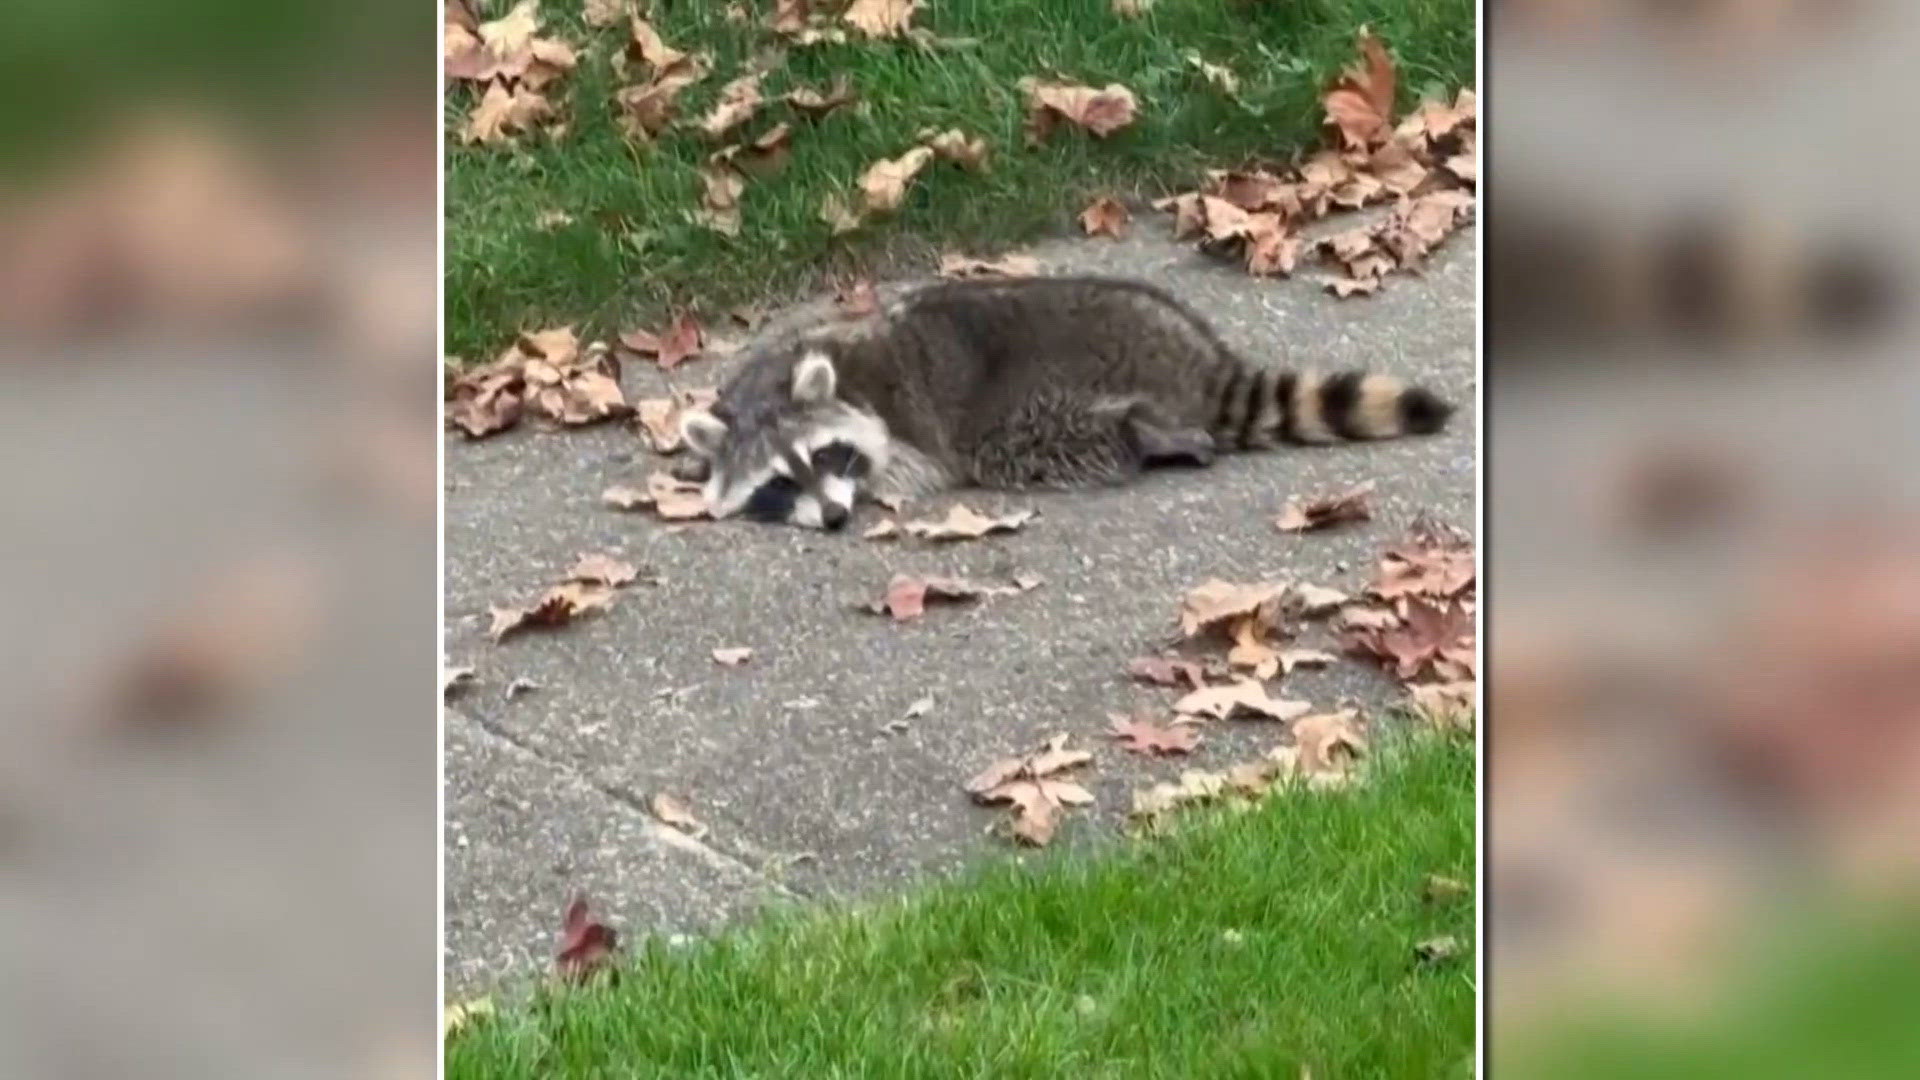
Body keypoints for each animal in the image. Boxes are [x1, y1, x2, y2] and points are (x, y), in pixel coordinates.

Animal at [679, 275, 1455, 529]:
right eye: (779, 481)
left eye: (825, 456)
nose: (837, 518)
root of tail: (1198, 362)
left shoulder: (904, 427)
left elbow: (905, 464)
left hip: (1051, 392)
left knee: (1032, 442)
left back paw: (1147, 435)